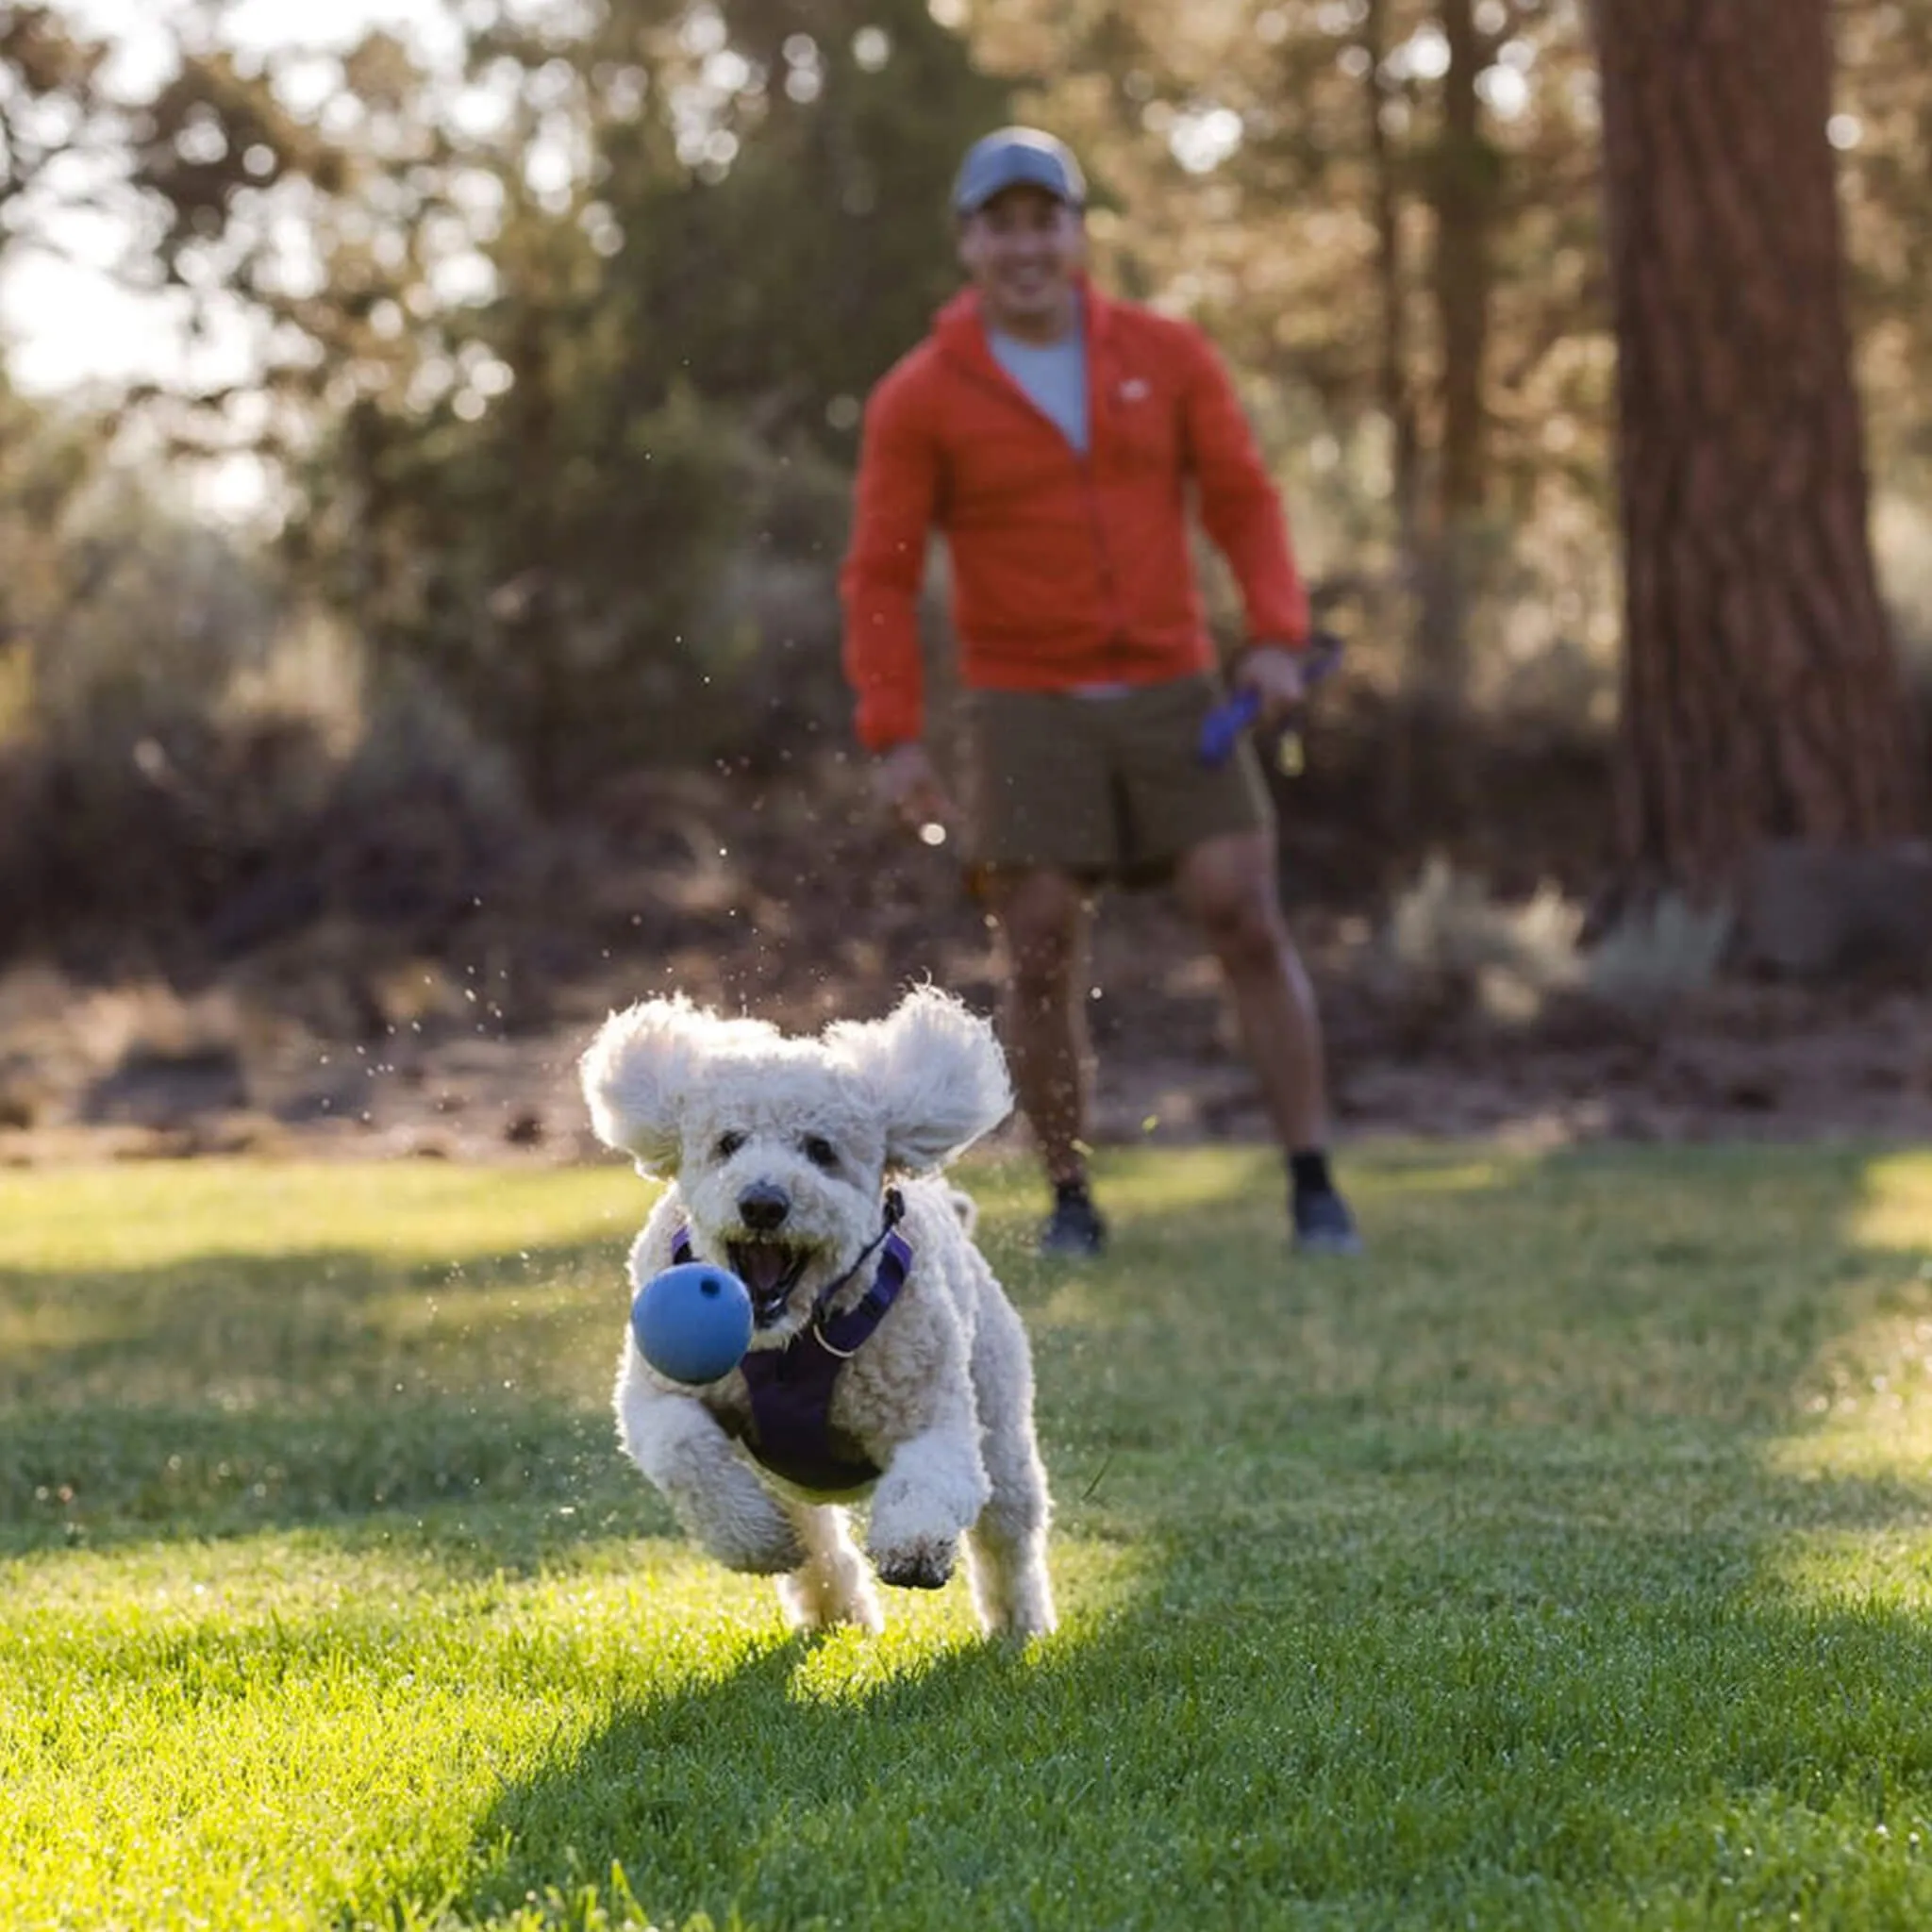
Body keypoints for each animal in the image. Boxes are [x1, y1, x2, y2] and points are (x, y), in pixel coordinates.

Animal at [579, 989, 1058, 1638]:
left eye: (820, 1150)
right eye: (729, 1142)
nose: (762, 1203)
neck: (789, 1343)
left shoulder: (931, 1411)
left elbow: (933, 1475)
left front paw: (914, 1549)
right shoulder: (655, 1396)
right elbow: (685, 1451)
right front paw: (754, 1540)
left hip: (1000, 1415)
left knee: (1008, 1534)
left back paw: (1019, 1627)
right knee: (817, 1544)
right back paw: (834, 1611)